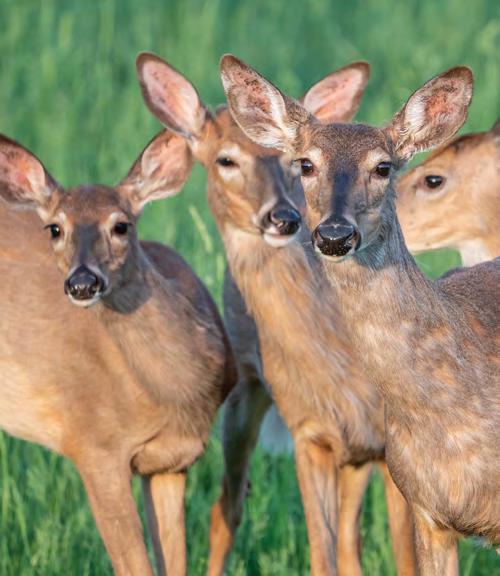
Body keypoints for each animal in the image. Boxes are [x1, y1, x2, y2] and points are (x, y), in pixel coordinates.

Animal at [136, 53, 417, 576]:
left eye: (292, 164)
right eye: (225, 159)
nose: (284, 218)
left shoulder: (386, 441)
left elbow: (402, 555)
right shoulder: (312, 432)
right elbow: (322, 554)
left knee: (349, 541)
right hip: (246, 393)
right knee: (226, 508)